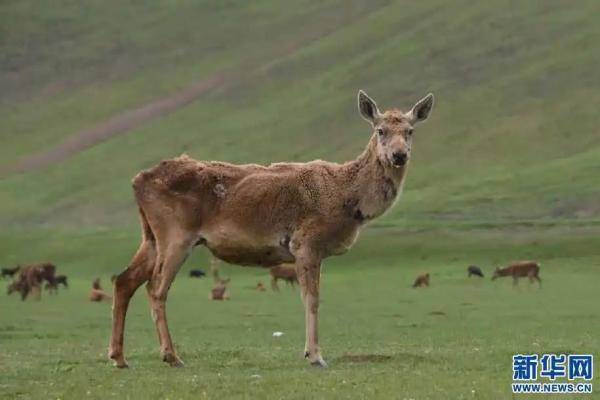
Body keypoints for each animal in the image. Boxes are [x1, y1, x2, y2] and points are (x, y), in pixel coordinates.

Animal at [109, 89, 436, 368]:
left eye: (410, 131)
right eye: (380, 130)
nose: (399, 155)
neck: (350, 202)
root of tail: (137, 182)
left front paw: (309, 352)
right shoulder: (306, 242)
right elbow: (312, 299)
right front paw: (315, 356)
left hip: (151, 236)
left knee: (124, 280)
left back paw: (119, 357)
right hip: (176, 234)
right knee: (155, 287)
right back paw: (171, 356)